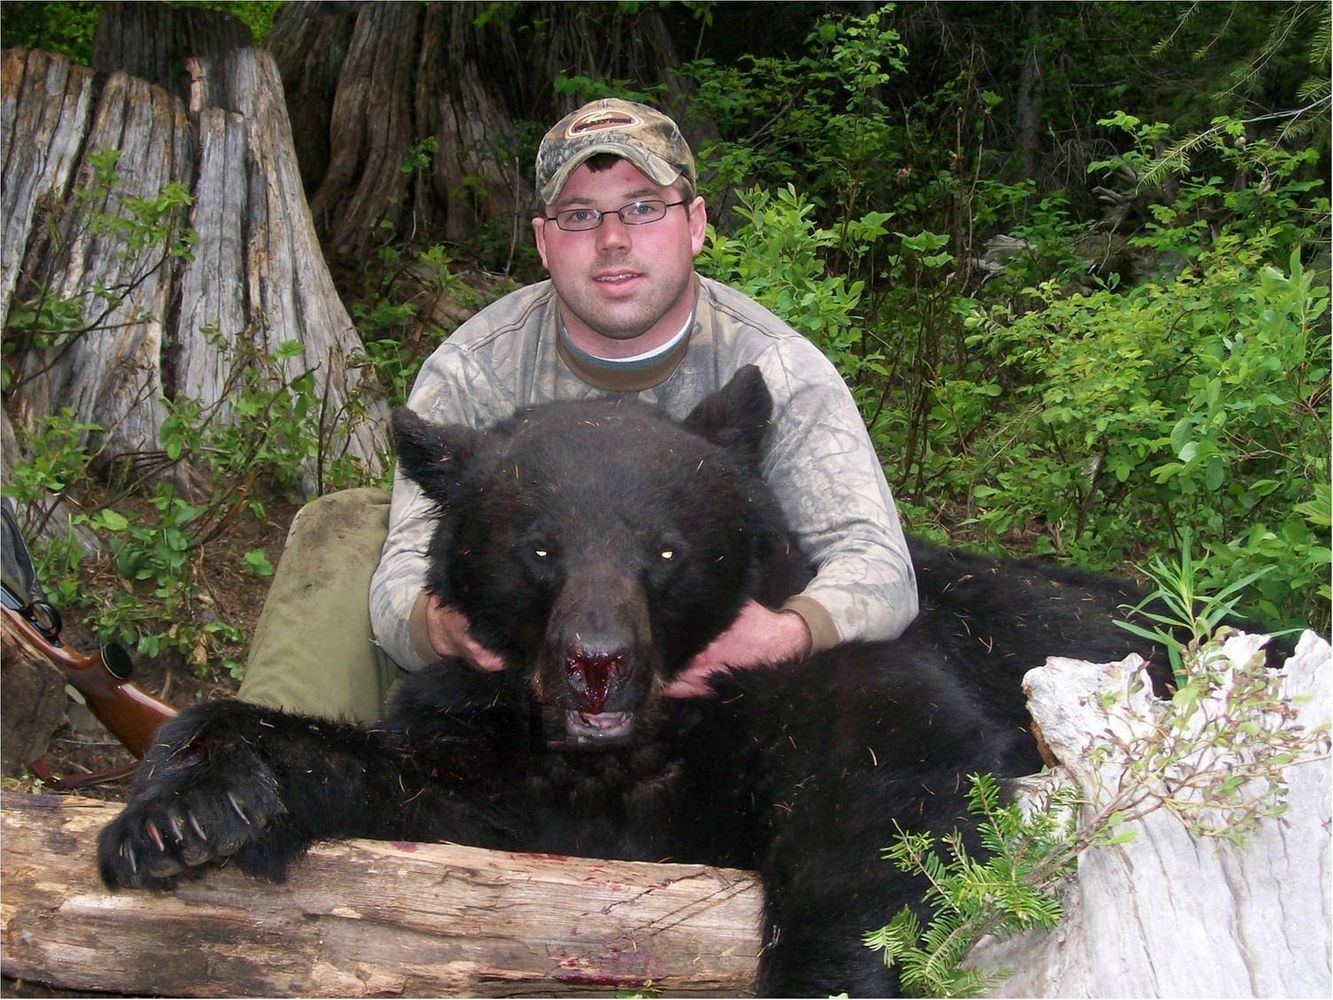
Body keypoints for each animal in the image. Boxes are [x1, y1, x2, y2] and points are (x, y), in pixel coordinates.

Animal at [96, 367, 1167, 997]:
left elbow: (882, 795)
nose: (595, 662)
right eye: (539, 548)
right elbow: (404, 784)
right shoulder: (502, 752)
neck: (633, 747)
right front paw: (182, 814)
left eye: (661, 549)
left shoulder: (822, 680)